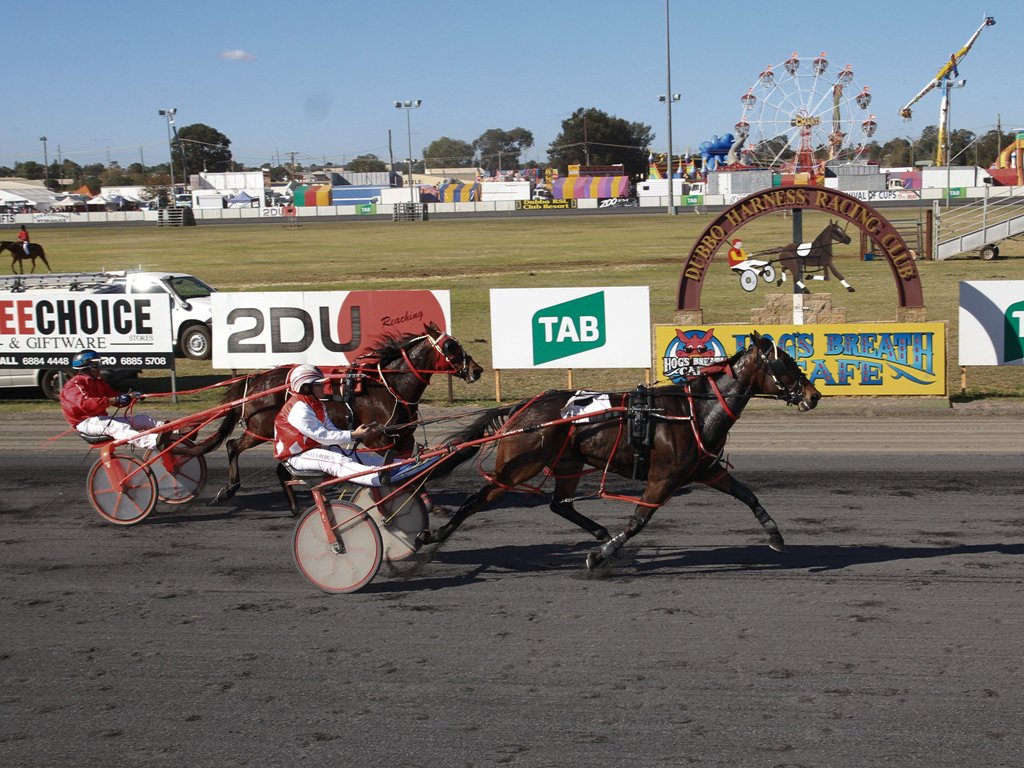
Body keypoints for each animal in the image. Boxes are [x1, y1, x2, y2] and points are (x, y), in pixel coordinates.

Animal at [180, 321, 483, 514]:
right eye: (451, 346)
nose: (476, 370)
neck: (389, 386)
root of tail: (254, 380)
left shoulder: (404, 437)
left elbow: (413, 467)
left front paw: (432, 505)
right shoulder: (380, 440)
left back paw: (293, 506)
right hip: (261, 427)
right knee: (233, 446)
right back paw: (229, 490)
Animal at [419, 331, 819, 573]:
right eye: (784, 362)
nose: (813, 395)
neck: (695, 411)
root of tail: (525, 406)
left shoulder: (706, 470)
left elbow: (748, 495)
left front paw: (775, 536)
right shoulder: (663, 478)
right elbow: (638, 521)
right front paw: (601, 555)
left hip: (567, 464)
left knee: (559, 505)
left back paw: (598, 532)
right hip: (519, 465)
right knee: (477, 499)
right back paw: (433, 535)